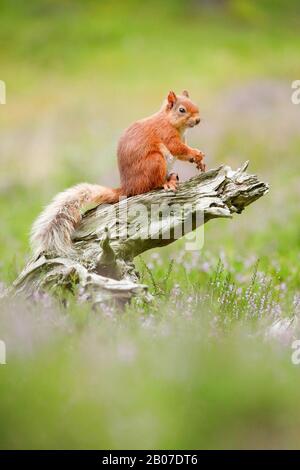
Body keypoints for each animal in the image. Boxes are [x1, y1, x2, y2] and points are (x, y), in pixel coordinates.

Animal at [31, 89, 206, 255]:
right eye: (182, 110)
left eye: (195, 104)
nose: (198, 120)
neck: (171, 122)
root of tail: (128, 187)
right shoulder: (166, 134)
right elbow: (177, 148)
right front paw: (196, 154)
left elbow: (183, 154)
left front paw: (199, 160)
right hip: (155, 162)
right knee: (152, 185)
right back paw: (167, 182)